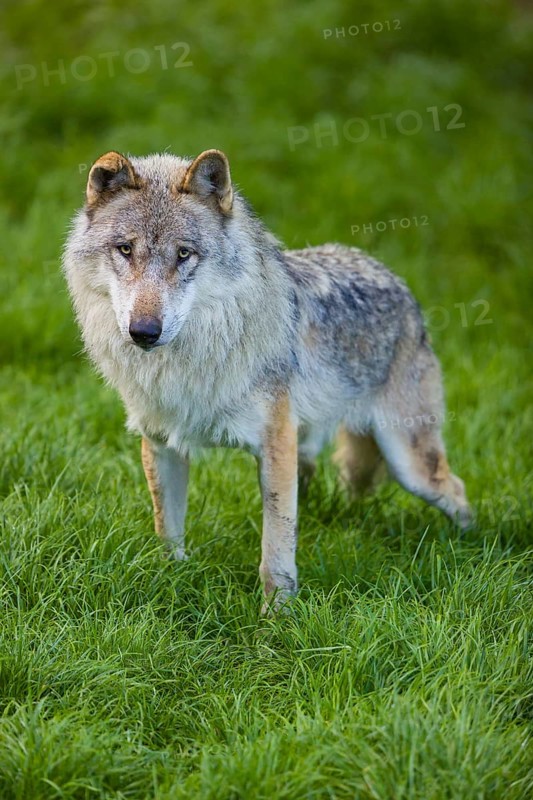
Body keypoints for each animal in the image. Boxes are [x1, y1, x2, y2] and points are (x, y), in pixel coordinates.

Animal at [63, 149, 471, 611]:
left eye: (184, 254)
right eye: (125, 249)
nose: (144, 331)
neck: (196, 360)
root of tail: (398, 283)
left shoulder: (274, 446)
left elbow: (275, 550)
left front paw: (276, 617)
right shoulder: (164, 444)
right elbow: (168, 532)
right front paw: (171, 582)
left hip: (408, 462)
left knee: (456, 491)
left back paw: (467, 549)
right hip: (322, 448)